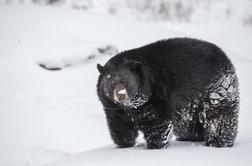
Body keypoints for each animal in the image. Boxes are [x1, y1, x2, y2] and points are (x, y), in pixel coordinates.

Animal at [95, 38, 239, 149]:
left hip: (216, 88)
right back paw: (191, 138)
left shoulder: (155, 96)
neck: (131, 106)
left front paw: (155, 145)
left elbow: (157, 122)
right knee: (188, 124)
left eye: (126, 82)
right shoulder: (114, 108)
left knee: (219, 116)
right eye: (111, 83)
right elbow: (120, 125)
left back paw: (218, 142)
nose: (121, 95)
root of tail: (225, 57)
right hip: (192, 103)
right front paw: (124, 144)